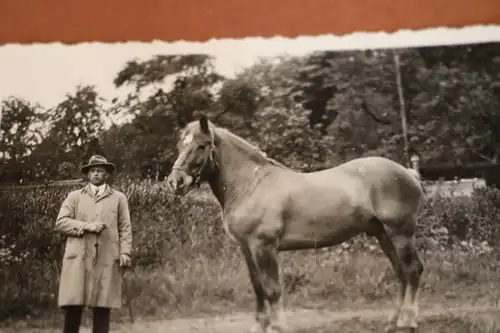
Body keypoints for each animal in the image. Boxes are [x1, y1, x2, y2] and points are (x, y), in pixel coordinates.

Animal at [166, 113, 424, 330]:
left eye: (201, 146)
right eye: (180, 145)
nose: (176, 181)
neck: (250, 184)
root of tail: (410, 173)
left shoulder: (264, 246)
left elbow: (272, 289)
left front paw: (277, 327)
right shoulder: (247, 248)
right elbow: (258, 287)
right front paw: (260, 326)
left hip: (400, 233)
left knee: (412, 270)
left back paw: (408, 321)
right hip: (382, 234)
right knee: (400, 271)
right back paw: (394, 321)